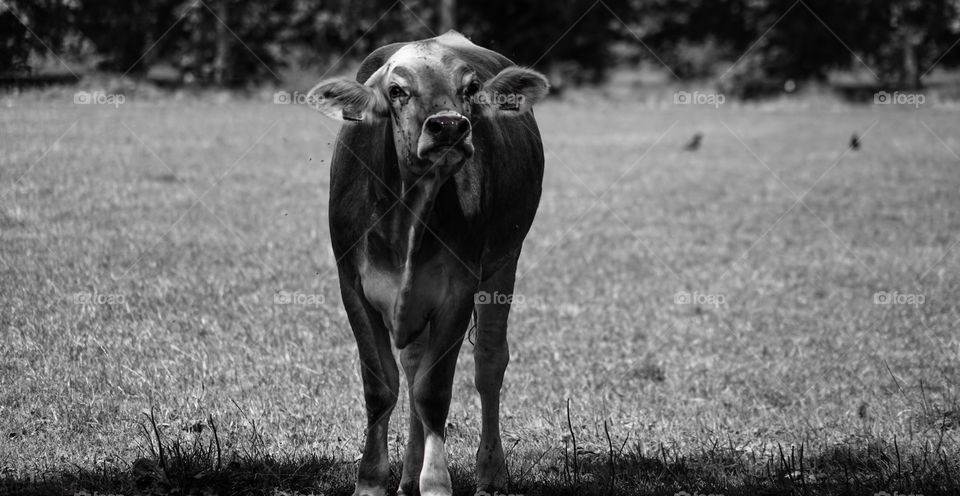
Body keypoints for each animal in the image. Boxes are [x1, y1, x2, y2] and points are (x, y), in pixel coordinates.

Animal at [308, 31, 549, 496]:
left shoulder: (458, 291)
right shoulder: (353, 286)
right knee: (413, 365)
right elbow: (381, 387)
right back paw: (406, 476)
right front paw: (371, 480)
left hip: (504, 263)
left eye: (470, 89)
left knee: (489, 363)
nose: (449, 126)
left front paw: (435, 482)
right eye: (397, 90)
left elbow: (433, 393)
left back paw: (490, 473)